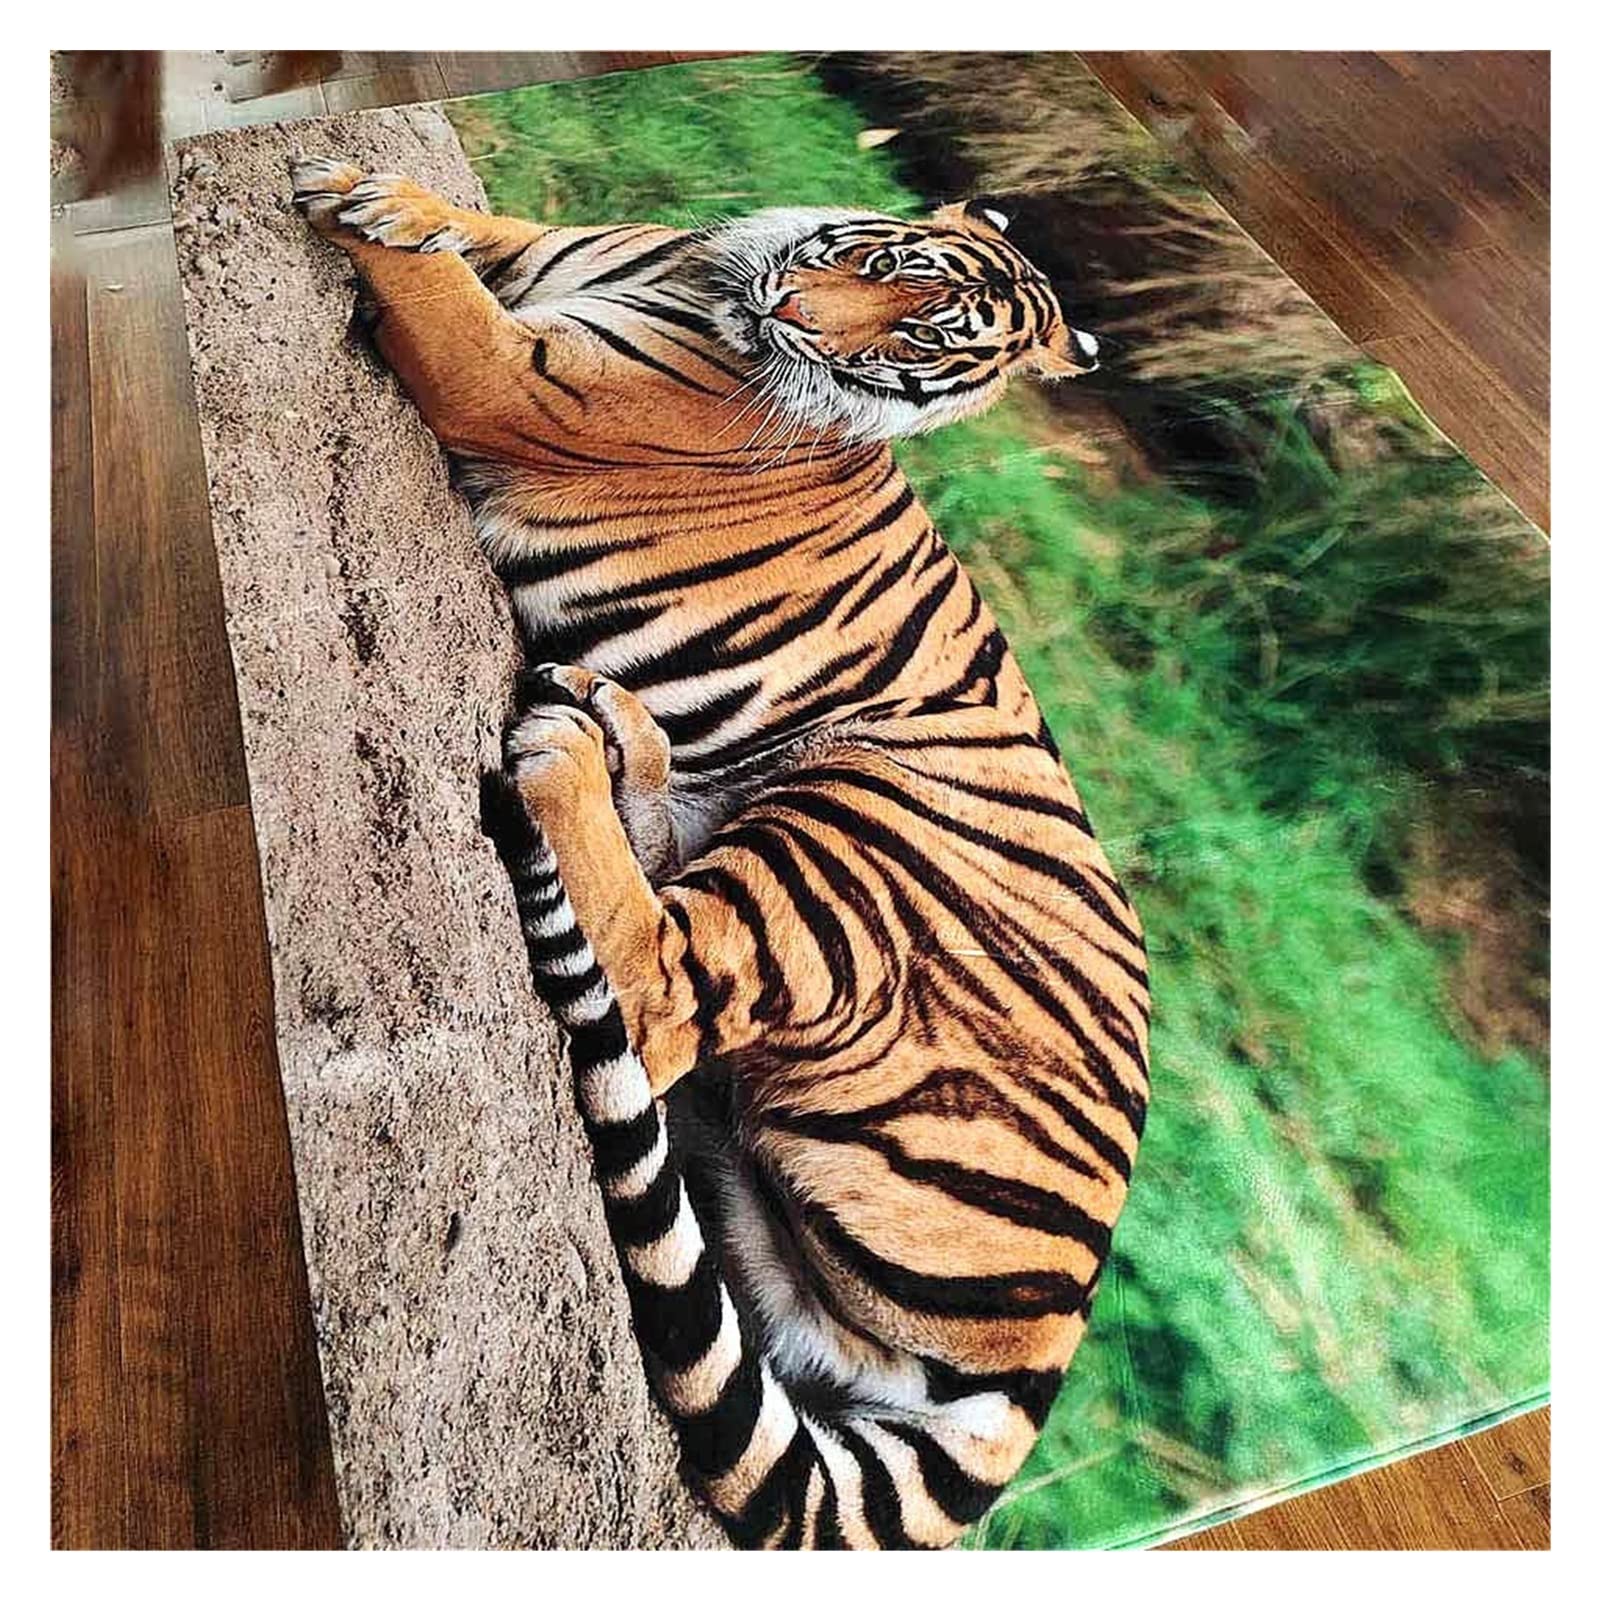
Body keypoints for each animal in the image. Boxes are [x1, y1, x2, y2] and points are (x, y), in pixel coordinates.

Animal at [291, 155, 1149, 1551]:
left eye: (922, 341)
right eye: (899, 271)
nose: (791, 312)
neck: (704, 280)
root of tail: (1049, 1353)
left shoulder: (518, 379)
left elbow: (441, 294)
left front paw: (359, 201)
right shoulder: (550, 257)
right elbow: (474, 236)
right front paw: (392, 193)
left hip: (852, 821)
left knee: (650, 991)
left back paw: (564, 748)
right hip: (750, 1210)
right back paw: (614, 725)